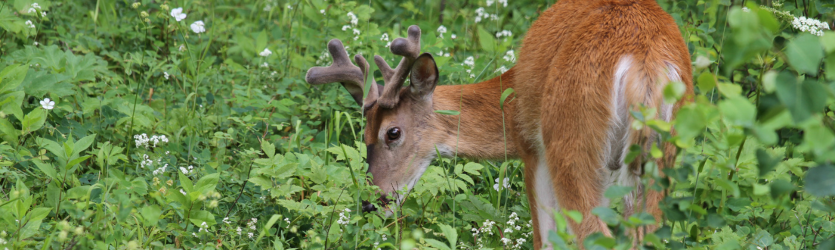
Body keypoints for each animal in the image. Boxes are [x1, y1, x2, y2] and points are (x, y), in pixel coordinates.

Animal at [306, 0, 692, 248]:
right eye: (364, 134)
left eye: (393, 132)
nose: (373, 202)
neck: (511, 94)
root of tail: (643, 64)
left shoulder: (531, 146)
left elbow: (545, 238)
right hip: (661, 157)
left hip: (570, 142)